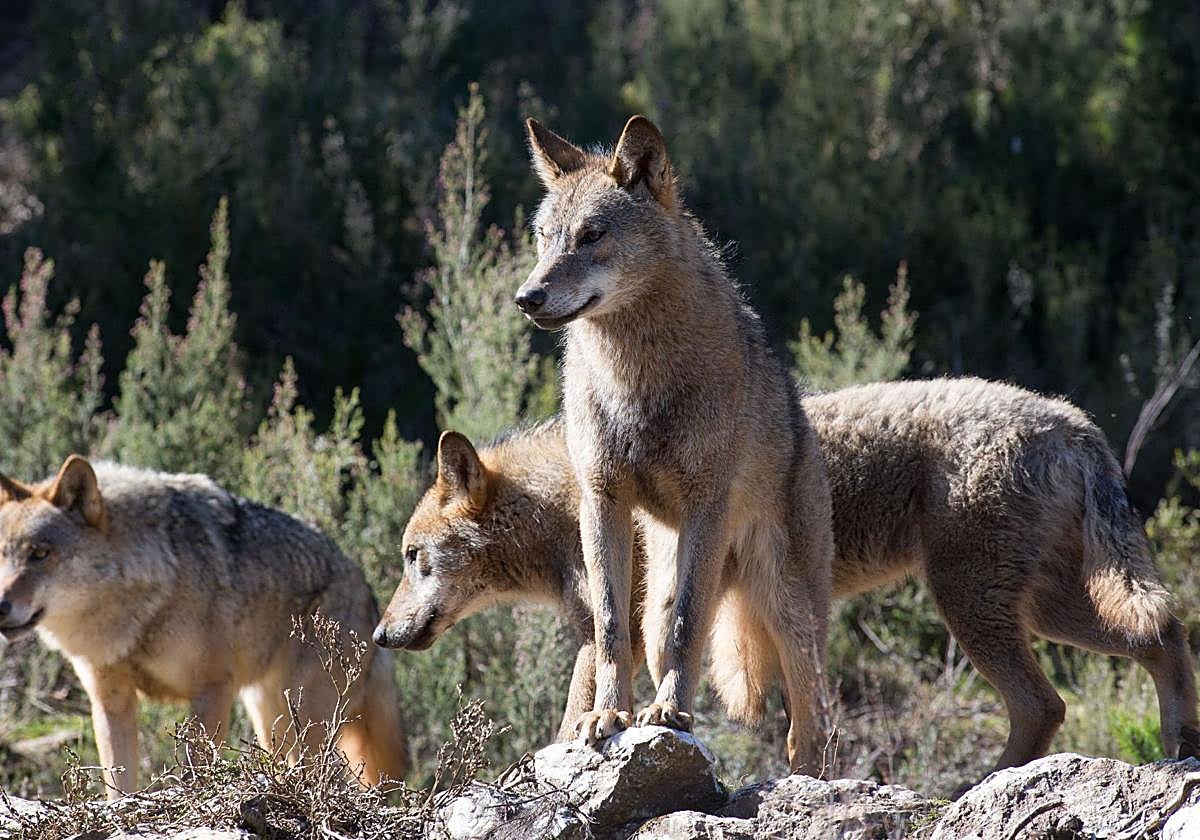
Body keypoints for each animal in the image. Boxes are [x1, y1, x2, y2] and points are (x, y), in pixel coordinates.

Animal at [0, 455, 407, 798]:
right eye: (3, 555)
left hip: (306, 722)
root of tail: (366, 590)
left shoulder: (212, 689)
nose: (1, 606)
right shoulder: (110, 700)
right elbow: (119, 785)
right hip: (271, 721)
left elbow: (195, 770)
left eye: (40, 554)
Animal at [375, 378, 1198, 771]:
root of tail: (1072, 419)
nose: (380, 636)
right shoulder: (612, 636)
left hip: (976, 608)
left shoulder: (617, 636)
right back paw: (1176, 746)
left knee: (1049, 699)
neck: (566, 501)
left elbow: (575, 717)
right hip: (1045, 610)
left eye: (413, 559)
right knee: (1159, 637)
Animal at [512, 115, 836, 773]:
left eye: (591, 235)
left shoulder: (706, 503)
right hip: (663, 589)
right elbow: (610, 630)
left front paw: (668, 715)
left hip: (787, 609)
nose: (526, 298)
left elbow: (690, 627)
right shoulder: (601, 502)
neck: (635, 378)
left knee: (809, 727)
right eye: (544, 237)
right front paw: (606, 717)